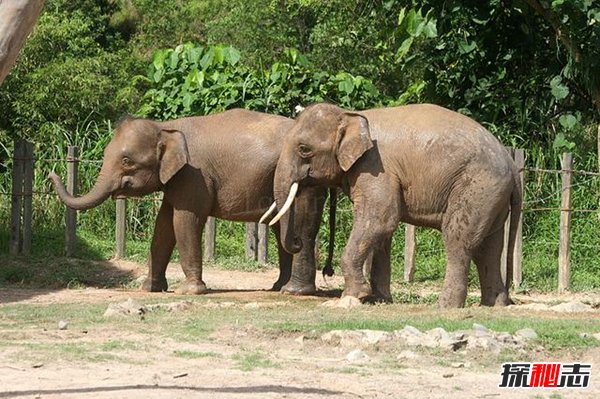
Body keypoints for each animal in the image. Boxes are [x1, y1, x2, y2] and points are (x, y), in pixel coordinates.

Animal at [48, 109, 330, 296]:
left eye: (127, 161)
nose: (51, 174)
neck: (165, 127)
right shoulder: (176, 180)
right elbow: (163, 226)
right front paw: (150, 289)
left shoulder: (194, 175)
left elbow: (184, 220)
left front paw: (191, 291)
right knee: (282, 228)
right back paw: (278, 287)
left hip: (306, 182)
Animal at [262, 103, 520, 310]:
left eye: (304, 149)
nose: (296, 242)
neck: (351, 115)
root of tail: (511, 164)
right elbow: (382, 232)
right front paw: (379, 300)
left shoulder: (375, 168)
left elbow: (380, 220)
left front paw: (355, 296)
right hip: (491, 197)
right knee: (489, 248)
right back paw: (494, 305)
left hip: (476, 187)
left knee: (459, 241)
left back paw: (446, 307)